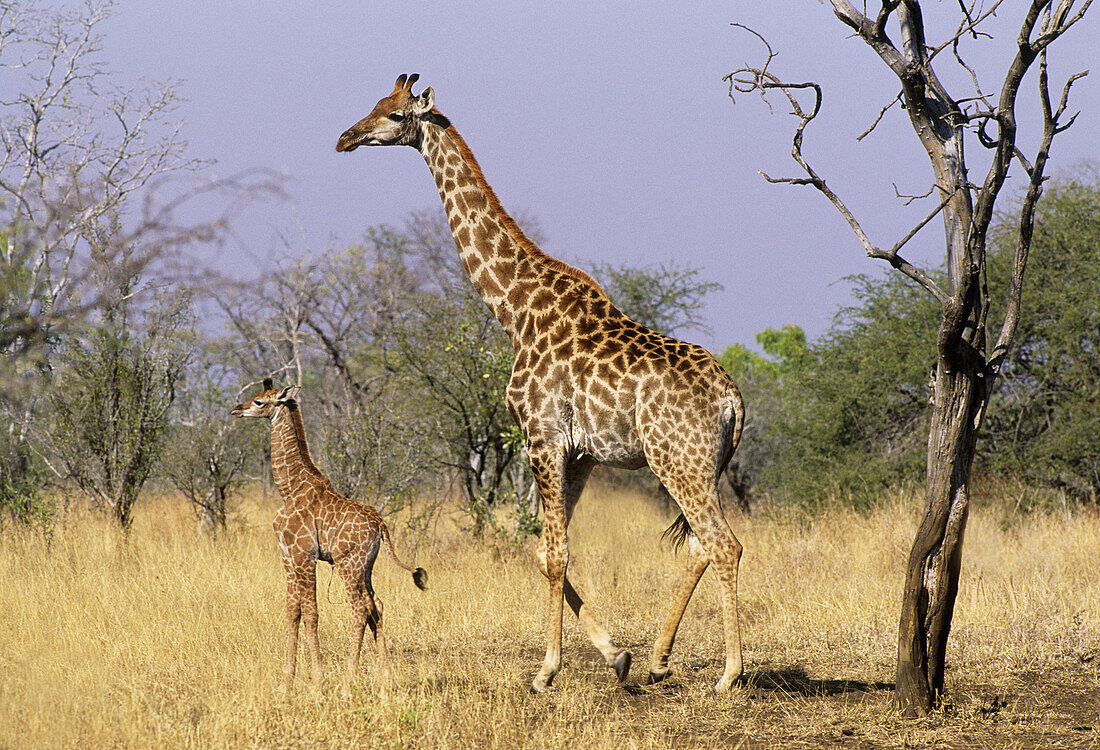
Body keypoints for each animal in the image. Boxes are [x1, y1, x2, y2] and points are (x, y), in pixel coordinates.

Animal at [229, 380, 426, 695]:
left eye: (259, 401)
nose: (237, 409)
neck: (289, 488)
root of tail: (380, 524)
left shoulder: (304, 554)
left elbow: (311, 612)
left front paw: (318, 681)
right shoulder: (286, 554)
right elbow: (292, 610)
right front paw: (286, 682)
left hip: (348, 563)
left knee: (360, 609)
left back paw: (348, 684)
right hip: (365, 567)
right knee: (377, 605)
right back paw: (385, 678)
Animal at [336, 74, 748, 690]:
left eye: (391, 114)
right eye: (375, 104)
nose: (345, 137)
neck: (516, 309)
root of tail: (733, 400)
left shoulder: (541, 438)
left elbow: (554, 554)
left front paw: (546, 671)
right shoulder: (580, 454)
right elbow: (544, 550)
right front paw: (616, 655)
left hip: (677, 459)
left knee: (725, 545)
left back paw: (729, 674)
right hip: (699, 465)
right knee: (701, 545)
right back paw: (657, 658)